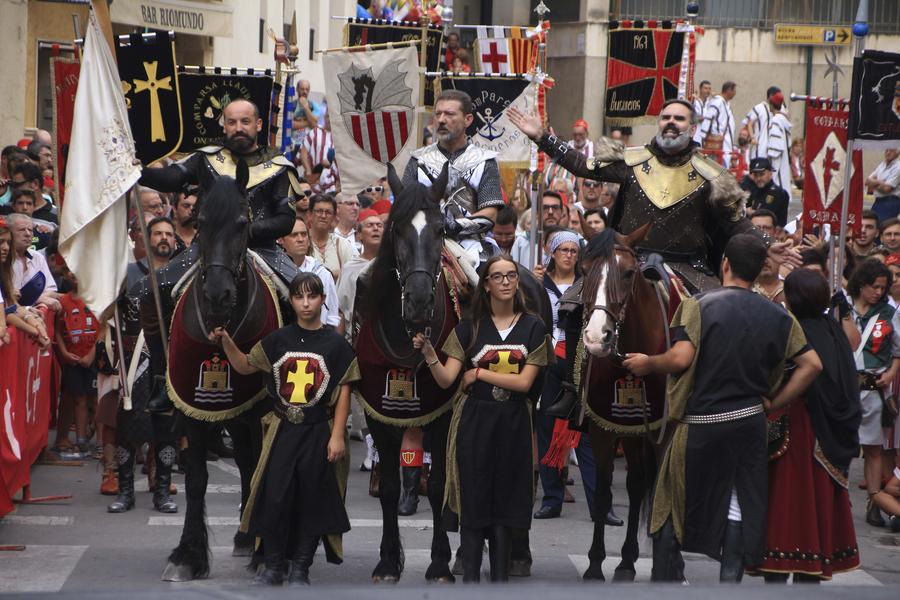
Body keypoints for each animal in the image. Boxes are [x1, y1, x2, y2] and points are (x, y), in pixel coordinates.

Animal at [161, 161, 282, 580]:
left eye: (243, 223)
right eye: (199, 221)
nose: (216, 296)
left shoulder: (262, 406)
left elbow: (263, 467)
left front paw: (264, 552)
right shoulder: (193, 407)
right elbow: (197, 480)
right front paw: (188, 554)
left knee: (251, 460)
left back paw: (250, 538)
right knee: (243, 459)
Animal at [572, 227, 672, 584]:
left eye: (628, 273)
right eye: (584, 269)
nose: (596, 338)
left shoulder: (664, 431)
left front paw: (666, 568)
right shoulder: (605, 428)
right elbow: (603, 493)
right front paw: (594, 565)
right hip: (631, 432)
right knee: (637, 482)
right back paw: (627, 561)